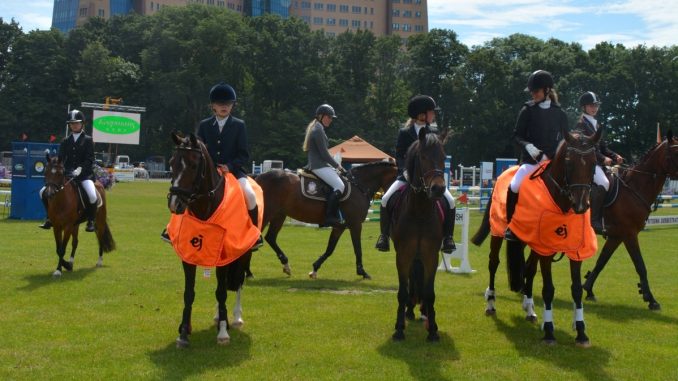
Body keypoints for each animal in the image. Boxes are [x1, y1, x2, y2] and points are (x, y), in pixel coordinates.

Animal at [167, 131, 260, 348]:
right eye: (172, 163)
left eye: (193, 165)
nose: (175, 204)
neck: (204, 206)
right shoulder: (187, 255)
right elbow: (189, 293)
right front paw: (183, 333)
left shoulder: (226, 256)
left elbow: (222, 291)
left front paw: (223, 333)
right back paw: (219, 316)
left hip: (243, 254)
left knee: (237, 282)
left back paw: (235, 318)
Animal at [258, 160, 402, 280]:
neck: (359, 185)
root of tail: (259, 177)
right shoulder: (355, 224)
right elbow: (358, 249)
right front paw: (362, 272)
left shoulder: (340, 227)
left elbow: (330, 249)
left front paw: (314, 269)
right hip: (267, 214)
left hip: (279, 215)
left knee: (270, 237)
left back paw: (286, 265)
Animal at [390, 128, 448, 342]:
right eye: (423, 156)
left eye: (444, 157)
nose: (438, 189)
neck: (420, 210)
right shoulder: (403, 255)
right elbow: (402, 290)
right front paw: (399, 329)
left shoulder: (430, 255)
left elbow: (429, 292)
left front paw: (433, 330)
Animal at [472, 126, 600, 346]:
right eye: (568, 162)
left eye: (593, 163)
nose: (581, 206)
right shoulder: (546, 251)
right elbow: (548, 289)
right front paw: (549, 331)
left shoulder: (575, 250)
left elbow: (576, 289)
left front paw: (581, 331)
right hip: (498, 232)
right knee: (493, 263)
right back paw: (490, 303)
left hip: (529, 241)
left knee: (528, 270)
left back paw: (529, 308)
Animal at [584, 130, 678, 308]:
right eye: (676, 152)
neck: (634, 187)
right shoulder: (629, 234)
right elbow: (640, 265)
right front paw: (651, 299)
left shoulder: (616, 236)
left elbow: (601, 262)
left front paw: (588, 289)